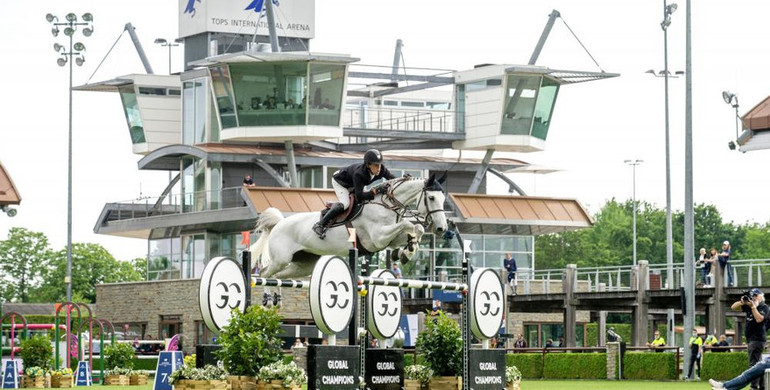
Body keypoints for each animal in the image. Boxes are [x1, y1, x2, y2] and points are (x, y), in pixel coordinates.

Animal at [249, 173, 448, 278]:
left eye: (443, 199)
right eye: (431, 198)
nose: (442, 229)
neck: (386, 205)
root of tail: (279, 224)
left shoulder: (387, 240)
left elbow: (415, 229)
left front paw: (405, 252)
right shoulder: (378, 238)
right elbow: (408, 224)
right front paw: (405, 251)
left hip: (303, 265)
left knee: (277, 276)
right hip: (280, 259)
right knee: (264, 274)